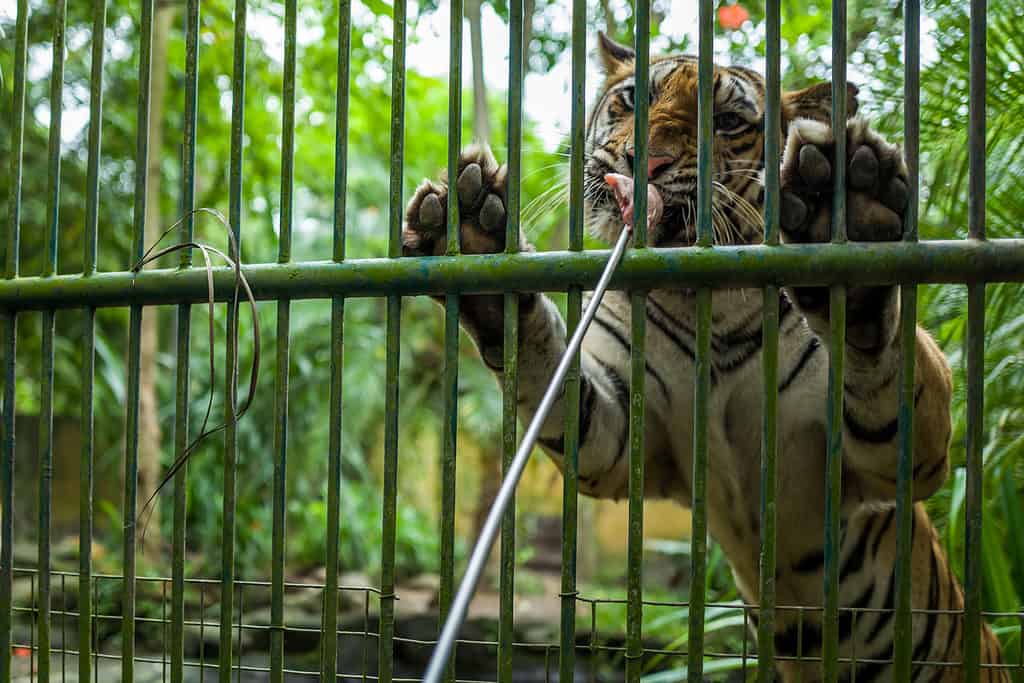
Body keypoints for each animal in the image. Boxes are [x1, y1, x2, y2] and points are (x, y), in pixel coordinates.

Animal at [399, 30, 1007, 679]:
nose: (646, 162)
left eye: (728, 121)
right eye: (634, 98)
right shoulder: (618, 436)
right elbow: (550, 374)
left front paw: (853, 223)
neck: (703, 305)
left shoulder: (890, 460)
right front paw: (475, 237)